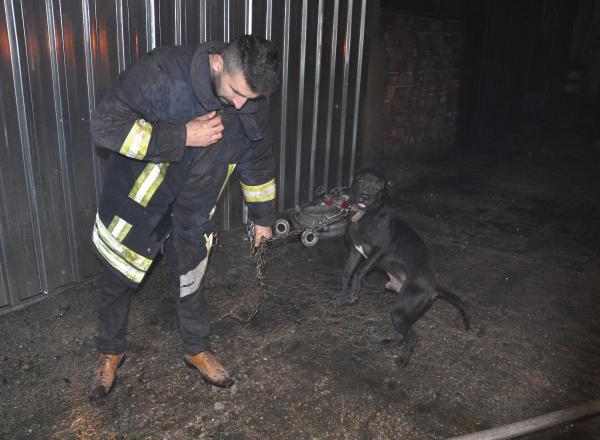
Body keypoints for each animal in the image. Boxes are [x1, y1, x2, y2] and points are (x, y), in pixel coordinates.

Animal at [342, 170, 468, 366]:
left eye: (380, 187)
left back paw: (403, 360)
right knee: (404, 335)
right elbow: (348, 273)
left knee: (413, 337)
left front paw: (354, 293)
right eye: (361, 179)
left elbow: (360, 272)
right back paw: (391, 342)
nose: (365, 196)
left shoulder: (380, 250)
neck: (365, 215)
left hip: (400, 312)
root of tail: (434, 287)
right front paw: (344, 294)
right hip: (403, 313)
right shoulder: (355, 252)